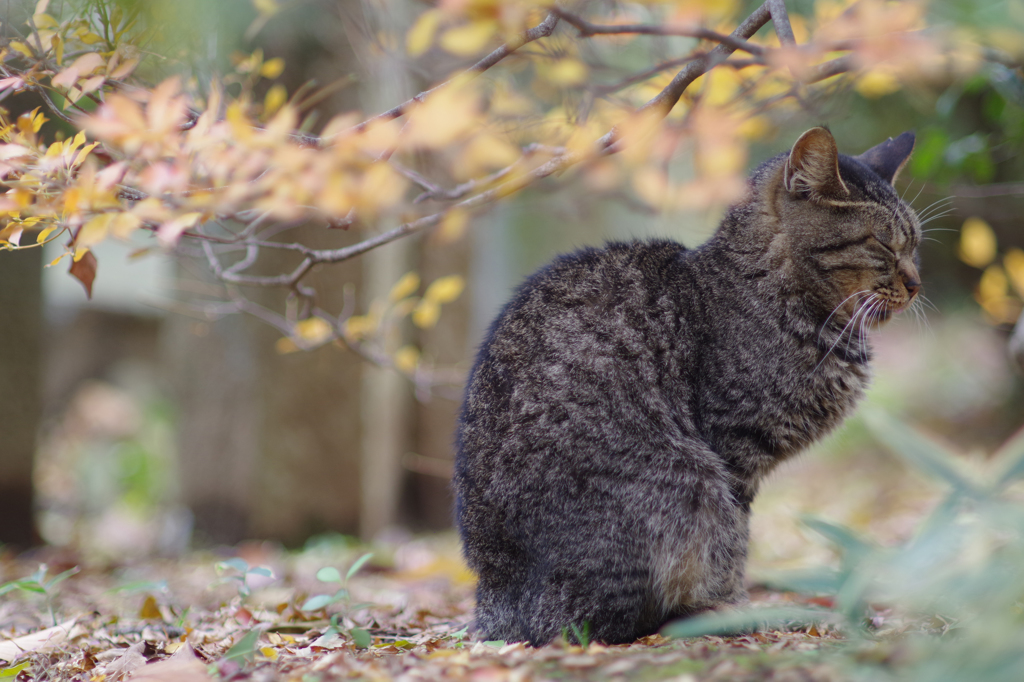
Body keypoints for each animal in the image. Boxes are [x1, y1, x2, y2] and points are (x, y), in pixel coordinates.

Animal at [456, 125, 921, 643]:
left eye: (914, 245)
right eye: (882, 245)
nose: (917, 283)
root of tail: (496, 603)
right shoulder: (733, 453)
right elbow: (733, 544)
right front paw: (736, 608)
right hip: (685, 479)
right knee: (605, 621)